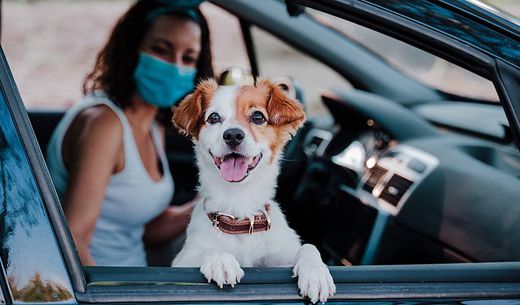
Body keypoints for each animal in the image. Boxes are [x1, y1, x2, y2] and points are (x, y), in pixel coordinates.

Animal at [172, 78, 338, 302]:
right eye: (214, 117)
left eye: (258, 117)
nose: (233, 135)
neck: (239, 211)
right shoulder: (181, 261)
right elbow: (206, 250)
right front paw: (220, 260)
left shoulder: (279, 257)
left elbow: (308, 247)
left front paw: (316, 273)